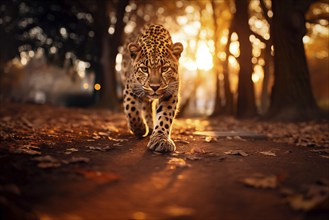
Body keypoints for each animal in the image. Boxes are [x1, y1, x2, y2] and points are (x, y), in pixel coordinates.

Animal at [121, 23, 183, 152]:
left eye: (165, 68)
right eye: (144, 69)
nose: (154, 87)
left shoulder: (171, 93)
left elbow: (165, 116)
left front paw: (160, 139)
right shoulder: (130, 89)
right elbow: (132, 111)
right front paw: (139, 129)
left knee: (147, 107)